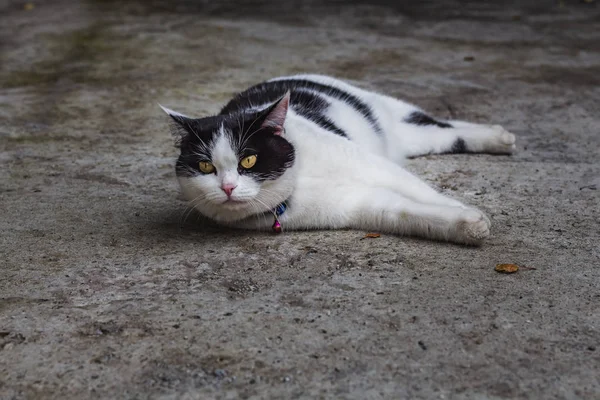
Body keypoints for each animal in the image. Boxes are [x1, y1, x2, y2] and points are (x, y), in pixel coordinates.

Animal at [161, 74, 516, 244]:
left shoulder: (371, 164)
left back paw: (501, 137)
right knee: (443, 133)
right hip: (412, 141)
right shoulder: (359, 205)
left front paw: (469, 213)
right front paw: (467, 226)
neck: (301, 180)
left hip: (394, 120)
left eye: (248, 161)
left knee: (440, 125)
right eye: (205, 166)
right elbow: (406, 212)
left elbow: (420, 190)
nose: (228, 187)